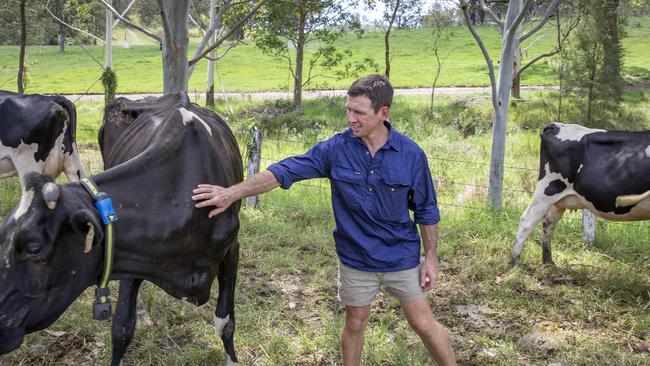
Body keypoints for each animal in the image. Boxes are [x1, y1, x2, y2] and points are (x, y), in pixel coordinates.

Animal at [508, 123, 648, 266]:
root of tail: (554, 126)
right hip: (547, 190)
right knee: (527, 220)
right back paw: (515, 262)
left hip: (557, 200)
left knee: (549, 223)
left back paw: (548, 261)